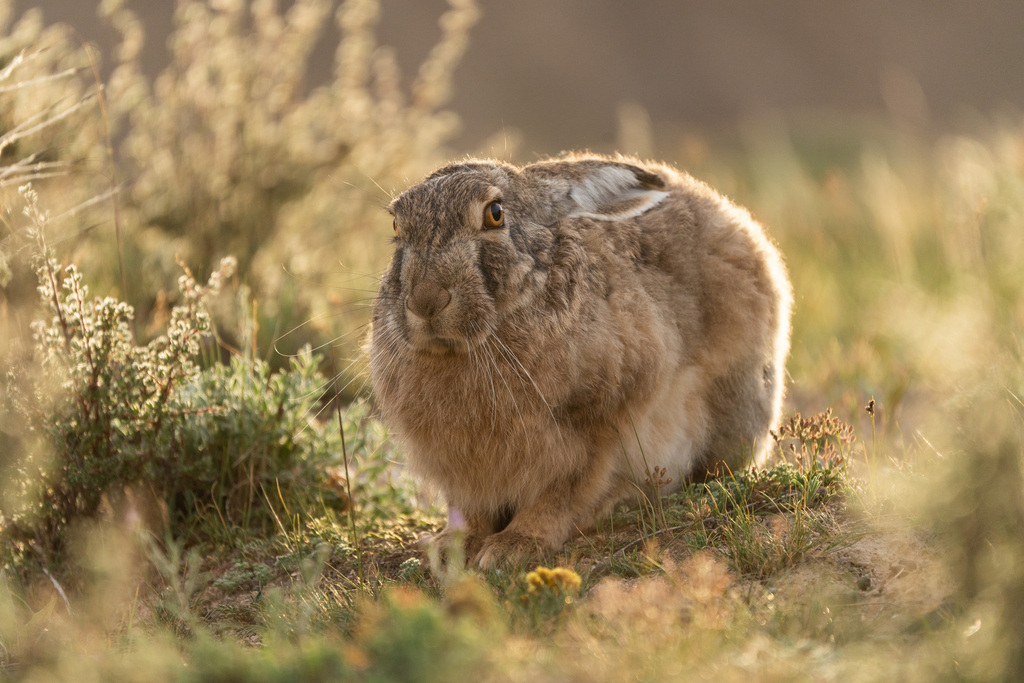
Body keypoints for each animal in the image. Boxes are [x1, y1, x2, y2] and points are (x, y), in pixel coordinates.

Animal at [368, 152, 792, 568]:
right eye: (396, 224)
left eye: (495, 214)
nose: (425, 301)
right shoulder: (462, 471)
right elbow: (471, 511)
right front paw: (450, 548)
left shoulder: (598, 431)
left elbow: (562, 493)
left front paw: (514, 547)